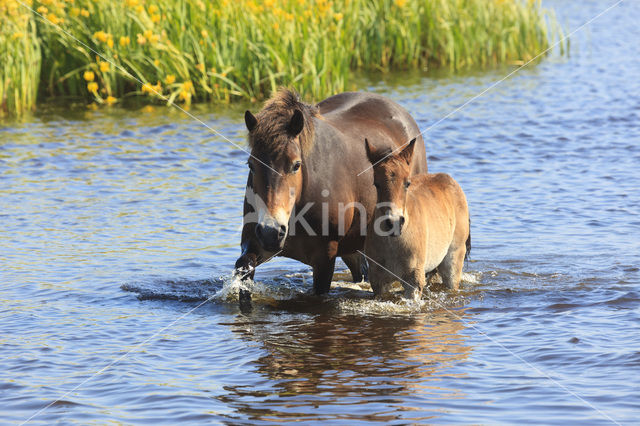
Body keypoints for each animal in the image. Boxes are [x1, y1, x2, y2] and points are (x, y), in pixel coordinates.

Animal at [232, 86, 428, 292]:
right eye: (251, 165)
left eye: (296, 165)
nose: (271, 231)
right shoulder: (255, 243)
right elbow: (244, 266)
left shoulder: (325, 258)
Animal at [364, 138, 470, 298]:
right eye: (376, 184)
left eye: (407, 183)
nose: (394, 223)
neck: (392, 243)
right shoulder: (379, 282)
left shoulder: (413, 281)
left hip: (453, 260)